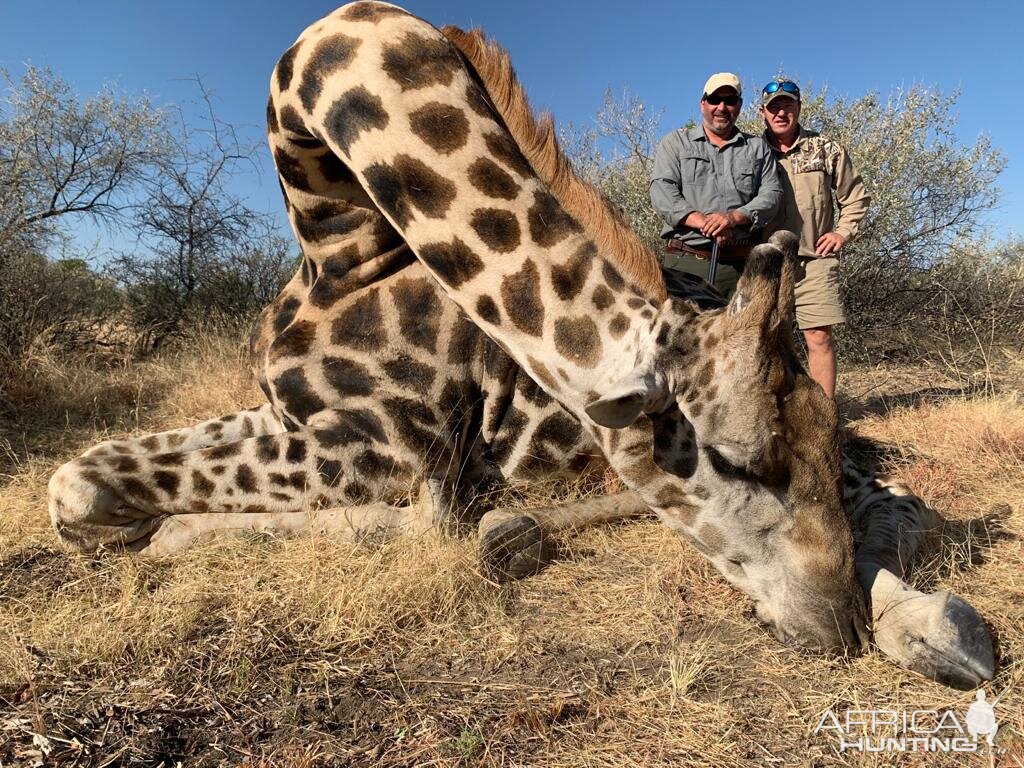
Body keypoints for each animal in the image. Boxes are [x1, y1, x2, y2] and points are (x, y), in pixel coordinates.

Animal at [46, 1, 991, 692]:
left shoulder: (379, 451)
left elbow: (93, 491)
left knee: (902, 501)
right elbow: (78, 480)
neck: (336, 242)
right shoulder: (295, 420)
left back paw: (943, 631)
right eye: (736, 459)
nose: (835, 628)